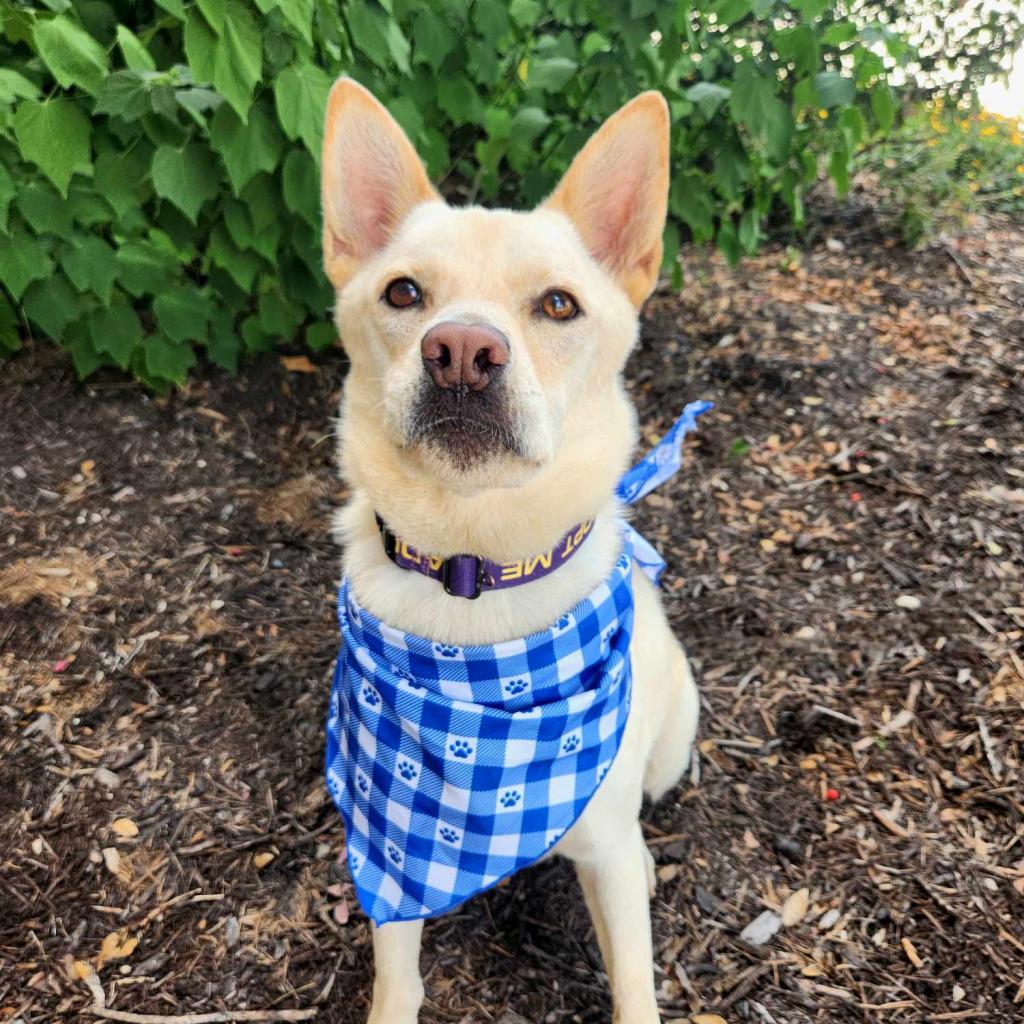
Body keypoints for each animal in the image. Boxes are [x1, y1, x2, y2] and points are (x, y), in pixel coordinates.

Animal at [321, 75, 704, 1019]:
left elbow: (634, 977)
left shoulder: (602, 845)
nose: (462, 351)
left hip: (673, 737)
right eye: (403, 294)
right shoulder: (394, 838)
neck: (476, 572)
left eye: (558, 304)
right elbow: (396, 973)